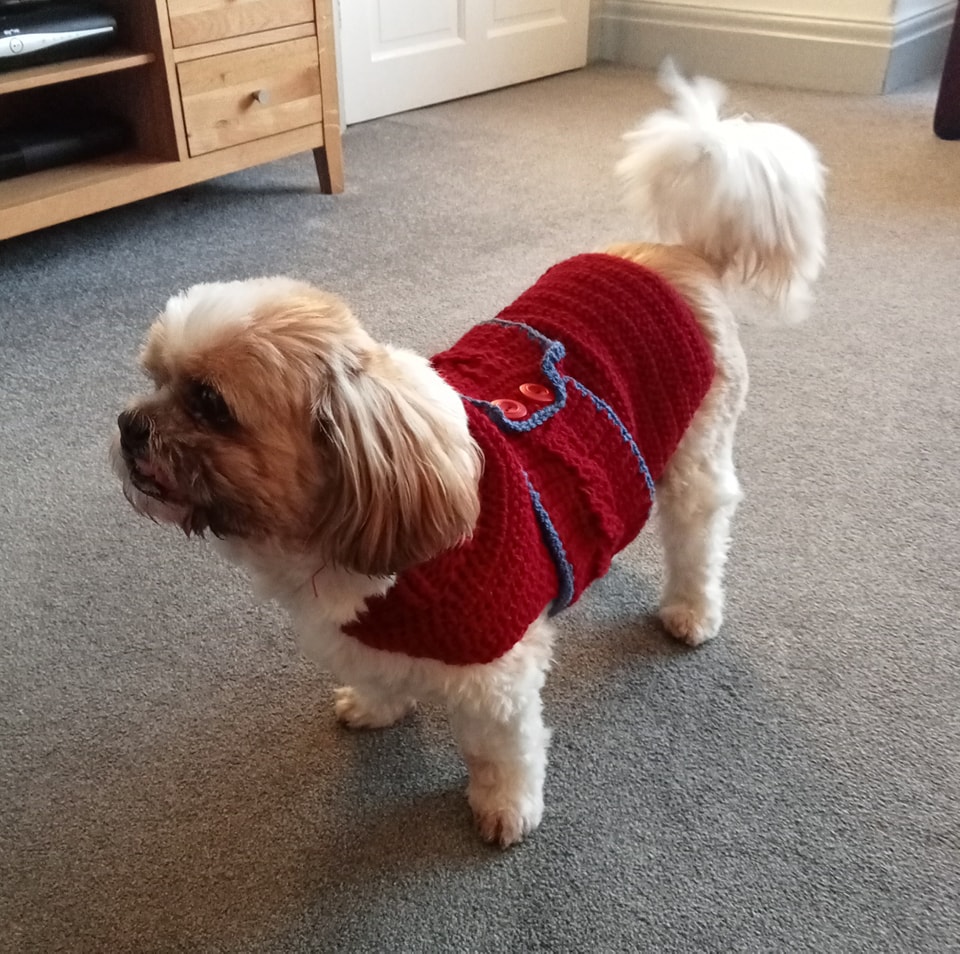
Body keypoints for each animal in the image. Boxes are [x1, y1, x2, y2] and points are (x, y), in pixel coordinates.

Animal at [111, 66, 825, 847]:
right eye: (154, 379)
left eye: (210, 404)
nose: (128, 426)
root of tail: (680, 258)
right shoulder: (363, 633)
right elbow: (378, 676)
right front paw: (378, 708)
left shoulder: (493, 673)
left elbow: (499, 751)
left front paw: (504, 808)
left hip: (695, 460)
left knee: (697, 542)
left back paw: (691, 611)